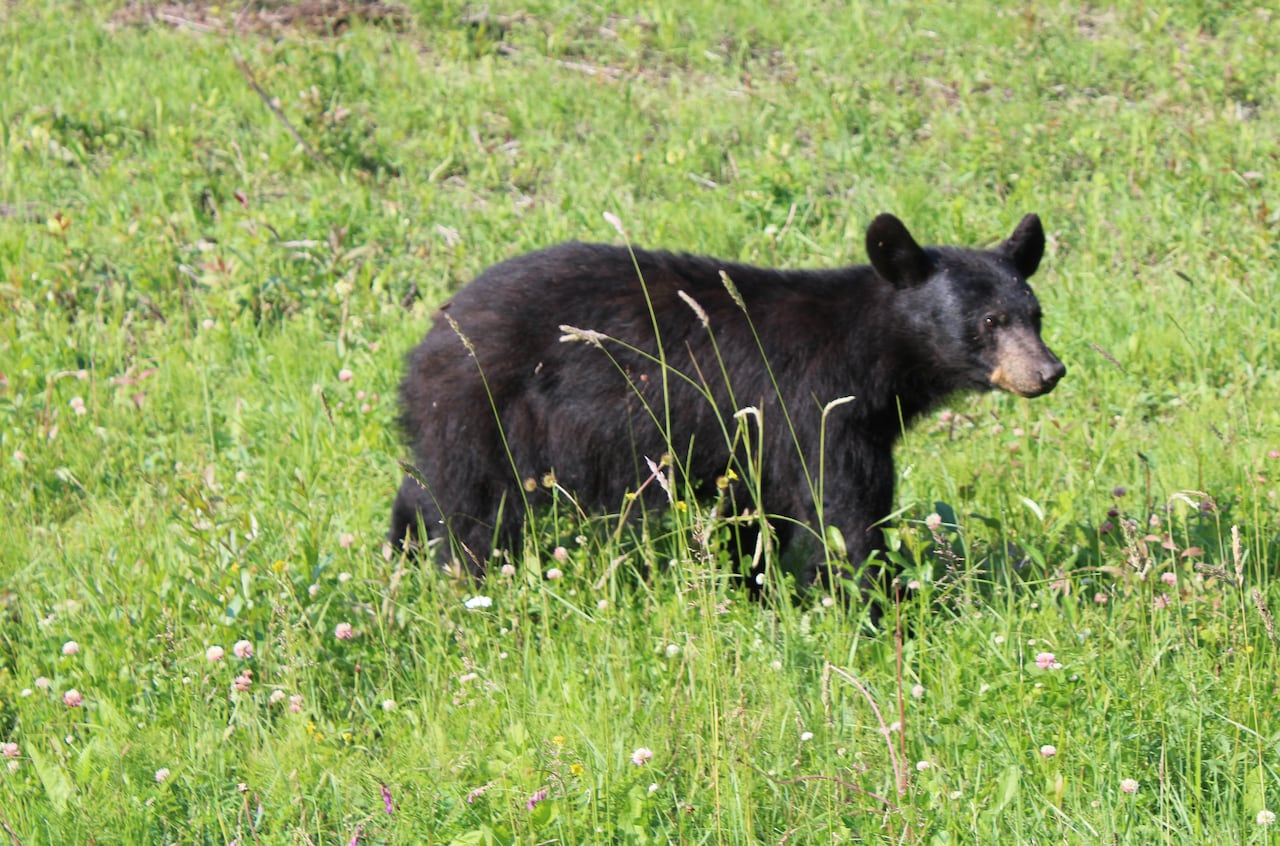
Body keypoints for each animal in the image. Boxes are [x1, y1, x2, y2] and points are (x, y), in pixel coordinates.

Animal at [390, 213, 1064, 600]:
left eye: (1034, 314)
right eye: (990, 321)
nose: (1048, 371)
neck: (870, 351)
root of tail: (437, 326)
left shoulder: (753, 437)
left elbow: (750, 519)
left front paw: (754, 591)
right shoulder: (816, 406)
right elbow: (844, 508)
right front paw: (878, 598)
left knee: (423, 488)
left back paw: (401, 552)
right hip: (487, 412)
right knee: (471, 509)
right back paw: (470, 582)